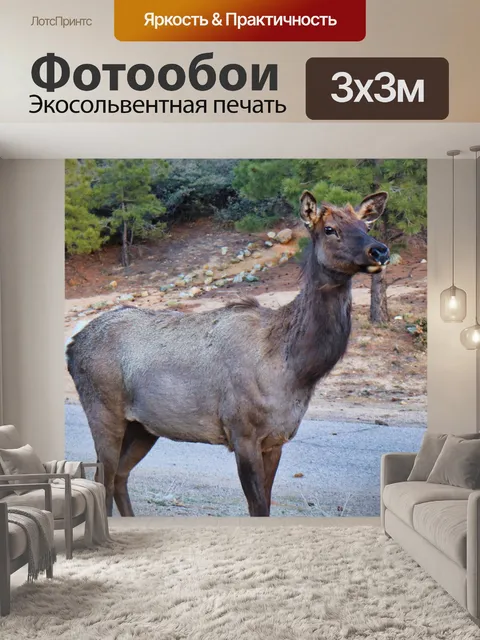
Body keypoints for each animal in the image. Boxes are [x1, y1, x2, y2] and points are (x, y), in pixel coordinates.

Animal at [67, 190, 389, 517]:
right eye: (329, 229)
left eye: (366, 225)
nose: (380, 251)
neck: (295, 371)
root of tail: (72, 344)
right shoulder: (242, 432)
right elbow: (257, 508)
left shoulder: (276, 440)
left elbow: (266, 507)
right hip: (103, 410)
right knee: (104, 479)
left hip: (143, 426)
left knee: (119, 476)